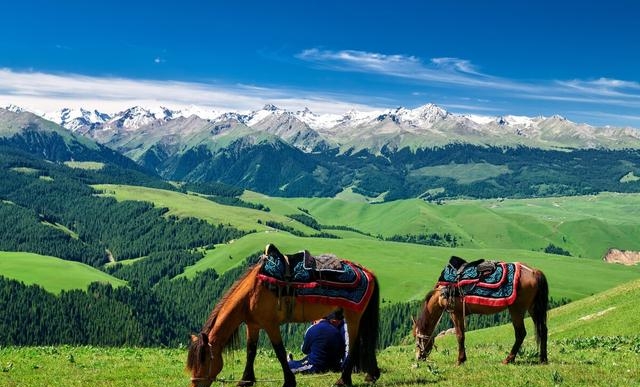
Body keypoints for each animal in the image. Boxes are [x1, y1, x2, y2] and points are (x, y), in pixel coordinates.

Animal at [185, 246, 380, 387]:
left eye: (204, 362)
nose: (194, 386)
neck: (251, 294)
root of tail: (366, 271)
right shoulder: (253, 325)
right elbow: (251, 351)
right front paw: (245, 380)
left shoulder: (270, 325)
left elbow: (279, 351)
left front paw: (289, 381)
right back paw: (370, 375)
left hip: (353, 315)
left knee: (354, 345)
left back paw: (343, 380)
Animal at [416, 258, 552, 366]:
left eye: (417, 339)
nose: (418, 357)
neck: (441, 294)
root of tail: (534, 271)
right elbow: (462, 335)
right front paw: (463, 359)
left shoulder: (455, 313)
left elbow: (460, 336)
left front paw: (460, 360)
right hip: (533, 308)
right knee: (543, 330)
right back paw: (543, 359)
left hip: (517, 309)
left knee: (520, 333)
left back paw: (508, 359)